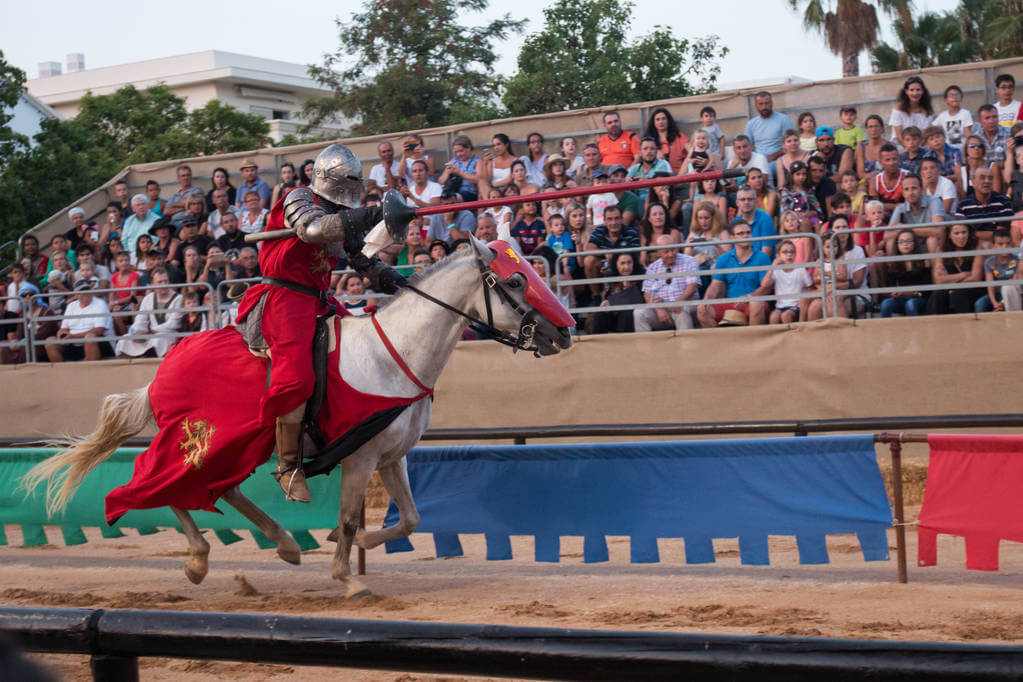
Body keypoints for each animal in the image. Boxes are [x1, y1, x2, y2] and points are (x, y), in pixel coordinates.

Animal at [19, 239, 572, 597]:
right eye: (516, 279)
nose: (564, 333)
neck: (395, 353)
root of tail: (162, 372)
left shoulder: (391, 457)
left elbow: (410, 517)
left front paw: (359, 548)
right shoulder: (360, 458)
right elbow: (348, 517)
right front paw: (347, 578)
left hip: (239, 445)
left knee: (222, 489)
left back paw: (283, 543)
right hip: (204, 442)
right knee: (162, 485)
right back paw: (199, 559)